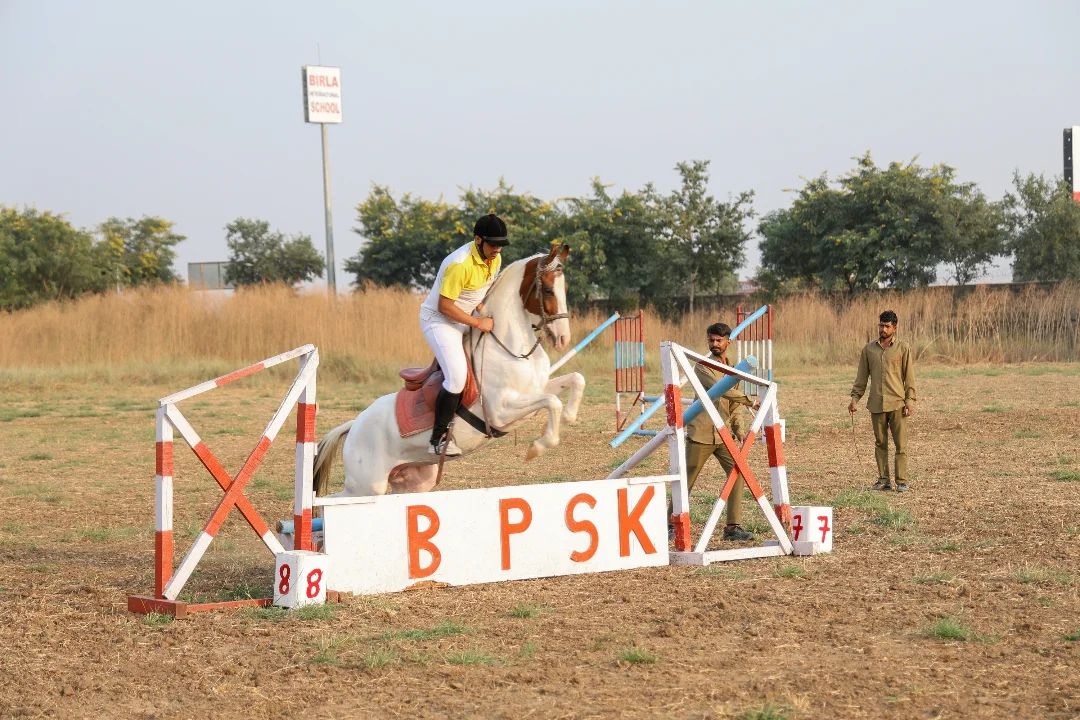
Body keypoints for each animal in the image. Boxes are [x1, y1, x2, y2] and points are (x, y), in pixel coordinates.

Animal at [315, 245, 583, 498]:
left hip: (412, 481)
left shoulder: (535, 390)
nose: (563, 338)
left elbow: (574, 381)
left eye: (565, 288)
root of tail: (353, 425)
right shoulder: (500, 412)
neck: (508, 346)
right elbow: (552, 402)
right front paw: (538, 447)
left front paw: (568, 417)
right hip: (365, 486)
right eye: (547, 290)